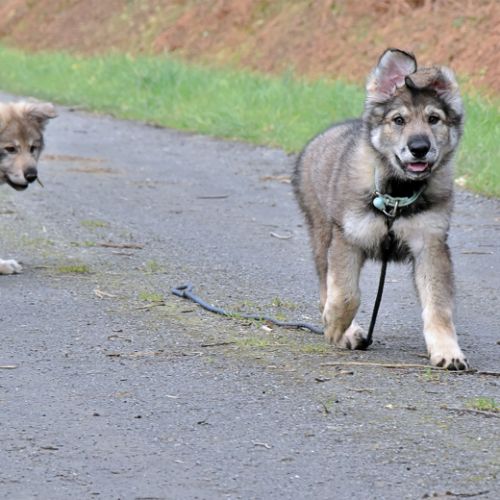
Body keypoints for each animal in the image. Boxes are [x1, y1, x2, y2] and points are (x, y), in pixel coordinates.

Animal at [293, 48, 469, 370]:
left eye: (434, 119)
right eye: (398, 120)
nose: (419, 148)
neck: (397, 192)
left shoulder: (431, 245)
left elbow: (438, 308)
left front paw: (447, 350)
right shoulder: (347, 239)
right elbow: (346, 294)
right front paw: (337, 327)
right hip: (321, 234)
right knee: (326, 286)